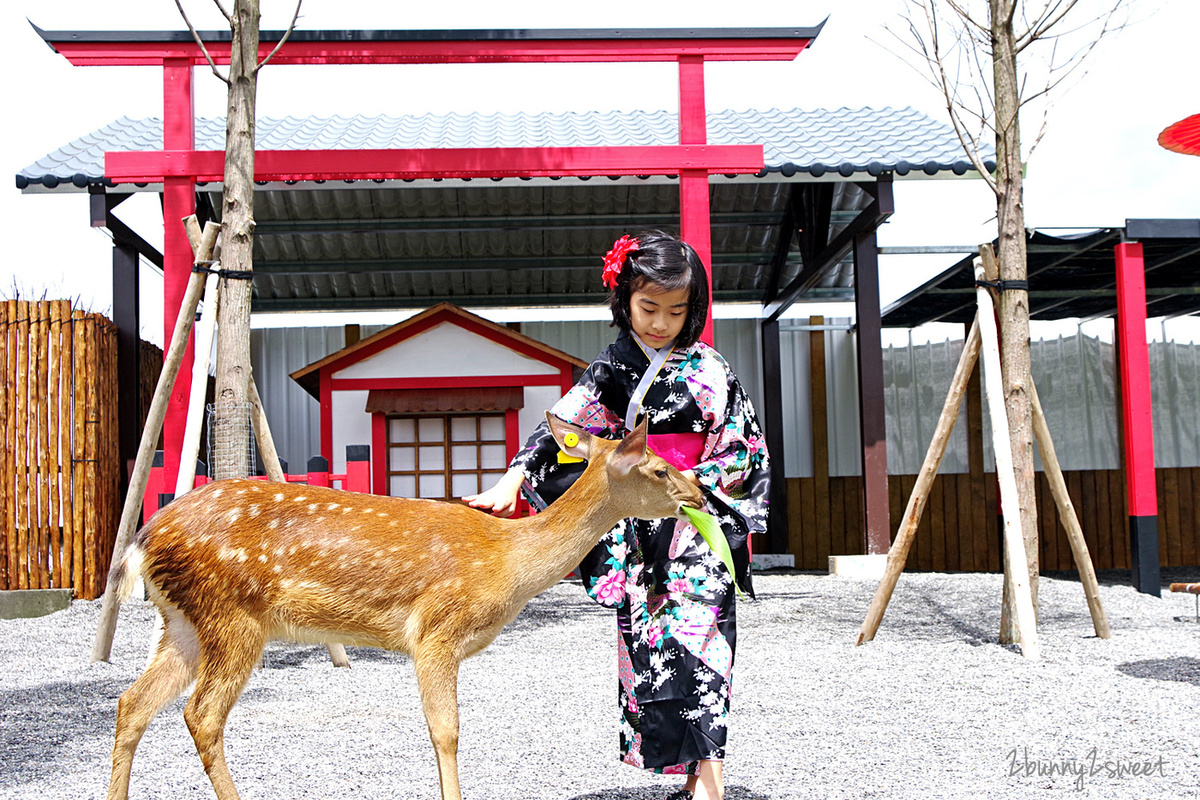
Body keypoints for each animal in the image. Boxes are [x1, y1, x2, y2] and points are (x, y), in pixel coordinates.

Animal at [105, 417, 700, 800]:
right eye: (658, 469)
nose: (699, 493)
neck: (507, 562)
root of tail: (144, 540)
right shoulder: (436, 630)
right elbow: (446, 731)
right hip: (233, 617)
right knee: (200, 714)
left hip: (184, 622)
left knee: (132, 703)